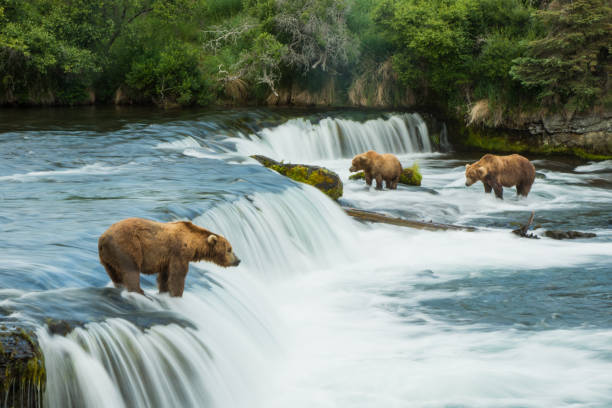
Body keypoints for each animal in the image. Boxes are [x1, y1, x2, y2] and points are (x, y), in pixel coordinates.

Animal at [97, 220, 239, 296]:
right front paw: (177, 294)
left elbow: (165, 276)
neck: (193, 243)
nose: (238, 260)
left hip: (107, 258)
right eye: (229, 249)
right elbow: (177, 275)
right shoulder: (179, 253)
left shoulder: (167, 258)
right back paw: (140, 292)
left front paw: (164, 291)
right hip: (128, 247)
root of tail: (102, 237)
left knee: (114, 274)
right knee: (131, 271)